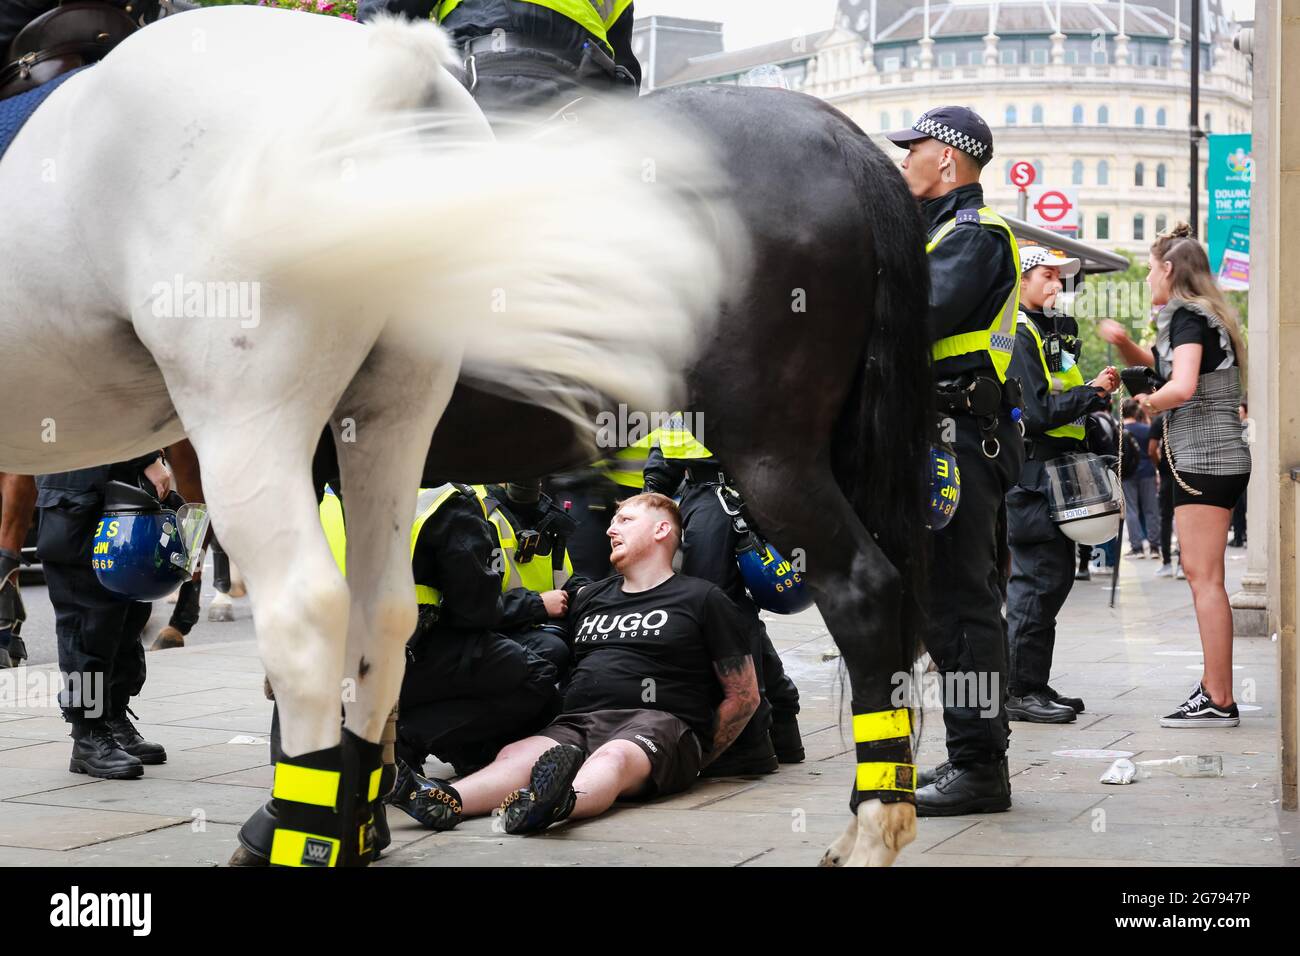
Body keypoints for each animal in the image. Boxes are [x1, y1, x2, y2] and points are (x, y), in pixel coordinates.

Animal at [0, 3, 728, 863]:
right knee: (379, 610)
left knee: (305, 614)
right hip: (393, 415)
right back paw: (356, 815)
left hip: (248, 417)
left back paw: (299, 828)